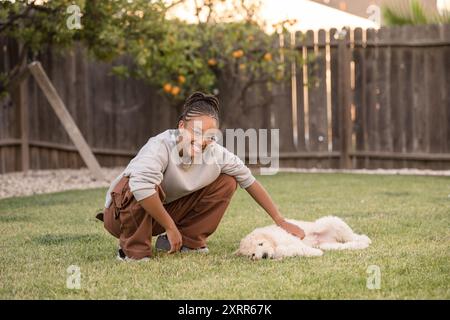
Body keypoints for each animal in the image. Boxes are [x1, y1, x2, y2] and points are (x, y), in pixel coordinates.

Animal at [237, 215, 370, 260]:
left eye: (260, 244)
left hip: (327, 223)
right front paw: (315, 253)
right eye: (252, 254)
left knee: (353, 236)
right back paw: (361, 244)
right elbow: (291, 250)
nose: (264, 255)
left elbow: (299, 247)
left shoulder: (290, 238)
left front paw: (315, 253)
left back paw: (365, 240)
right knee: (347, 244)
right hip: (328, 245)